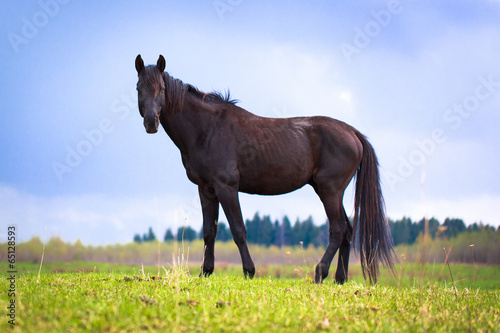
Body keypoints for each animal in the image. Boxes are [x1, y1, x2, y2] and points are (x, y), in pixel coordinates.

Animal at [134, 54, 394, 282]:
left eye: (162, 89)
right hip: (329, 191)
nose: (151, 123)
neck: (207, 129)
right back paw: (340, 279)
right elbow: (209, 231)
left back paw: (320, 273)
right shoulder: (206, 189)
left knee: (338, 230)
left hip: (330, 190)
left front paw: (249, 271)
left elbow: (238, 230)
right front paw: (205, 272)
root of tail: (353, 133)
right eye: (138, 88)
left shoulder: (227, 187)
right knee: (348, 231)